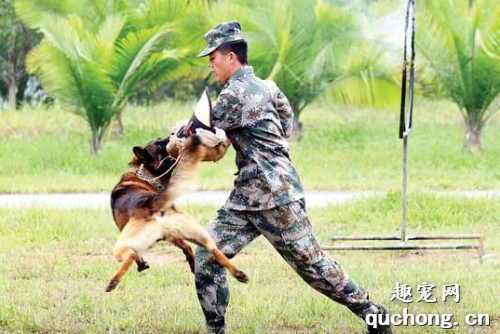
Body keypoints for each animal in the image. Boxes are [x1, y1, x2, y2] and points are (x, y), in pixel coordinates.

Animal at [106, 134, 247, 290]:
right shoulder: (172, 237)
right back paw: (237, 273)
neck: (144, 175)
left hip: (121, 246)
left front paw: (142, 264)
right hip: (194, 233)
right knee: (212, 249)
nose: (174, 135)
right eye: (158, 145)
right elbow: (186, 247)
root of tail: (150, 203)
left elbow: (138, 256)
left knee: (130, 254)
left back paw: (113, 282)